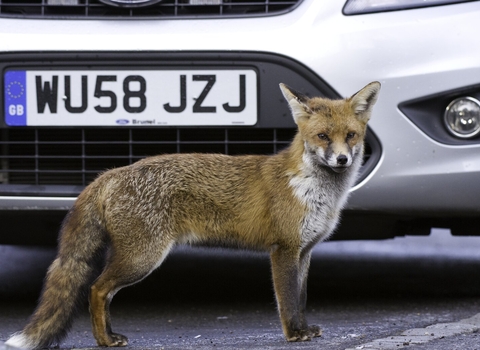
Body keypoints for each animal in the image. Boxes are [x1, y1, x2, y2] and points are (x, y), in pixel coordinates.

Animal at [3, 81, 378, 348]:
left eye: (351, 136)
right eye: (322, 136)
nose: (342, 159)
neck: (315, 190)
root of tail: (110, 173)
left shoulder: (305, 251)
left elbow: (300, 298)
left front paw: (304, 329)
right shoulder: (283, 249)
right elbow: (286, 300)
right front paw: (293, 335)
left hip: (135, 258)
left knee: (103, 292)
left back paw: (110, 335)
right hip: (142, 258)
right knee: (96, 289)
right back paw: (104, 341)